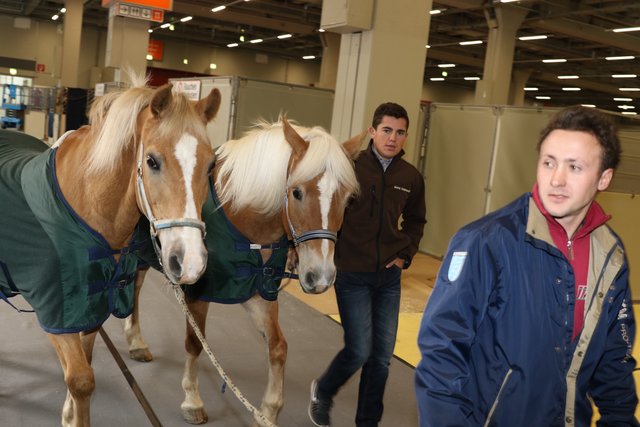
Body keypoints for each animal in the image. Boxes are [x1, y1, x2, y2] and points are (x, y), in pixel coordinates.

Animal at [0, 75, 221, 427]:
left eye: (211, 164)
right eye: (151, 161)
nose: (190, 262)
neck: (86, 203)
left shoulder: (91, 307)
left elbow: (84, 365)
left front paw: (69, 414)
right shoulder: (55, 310)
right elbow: (81, 379)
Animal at [127, 117, 363, 425]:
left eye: (347, 200)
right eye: (297, 192)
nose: (321, 276)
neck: (240, 216)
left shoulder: (259, 292)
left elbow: (278, 347)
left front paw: (268, 411)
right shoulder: (197, 292)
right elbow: (195, 343)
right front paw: (192, 399)